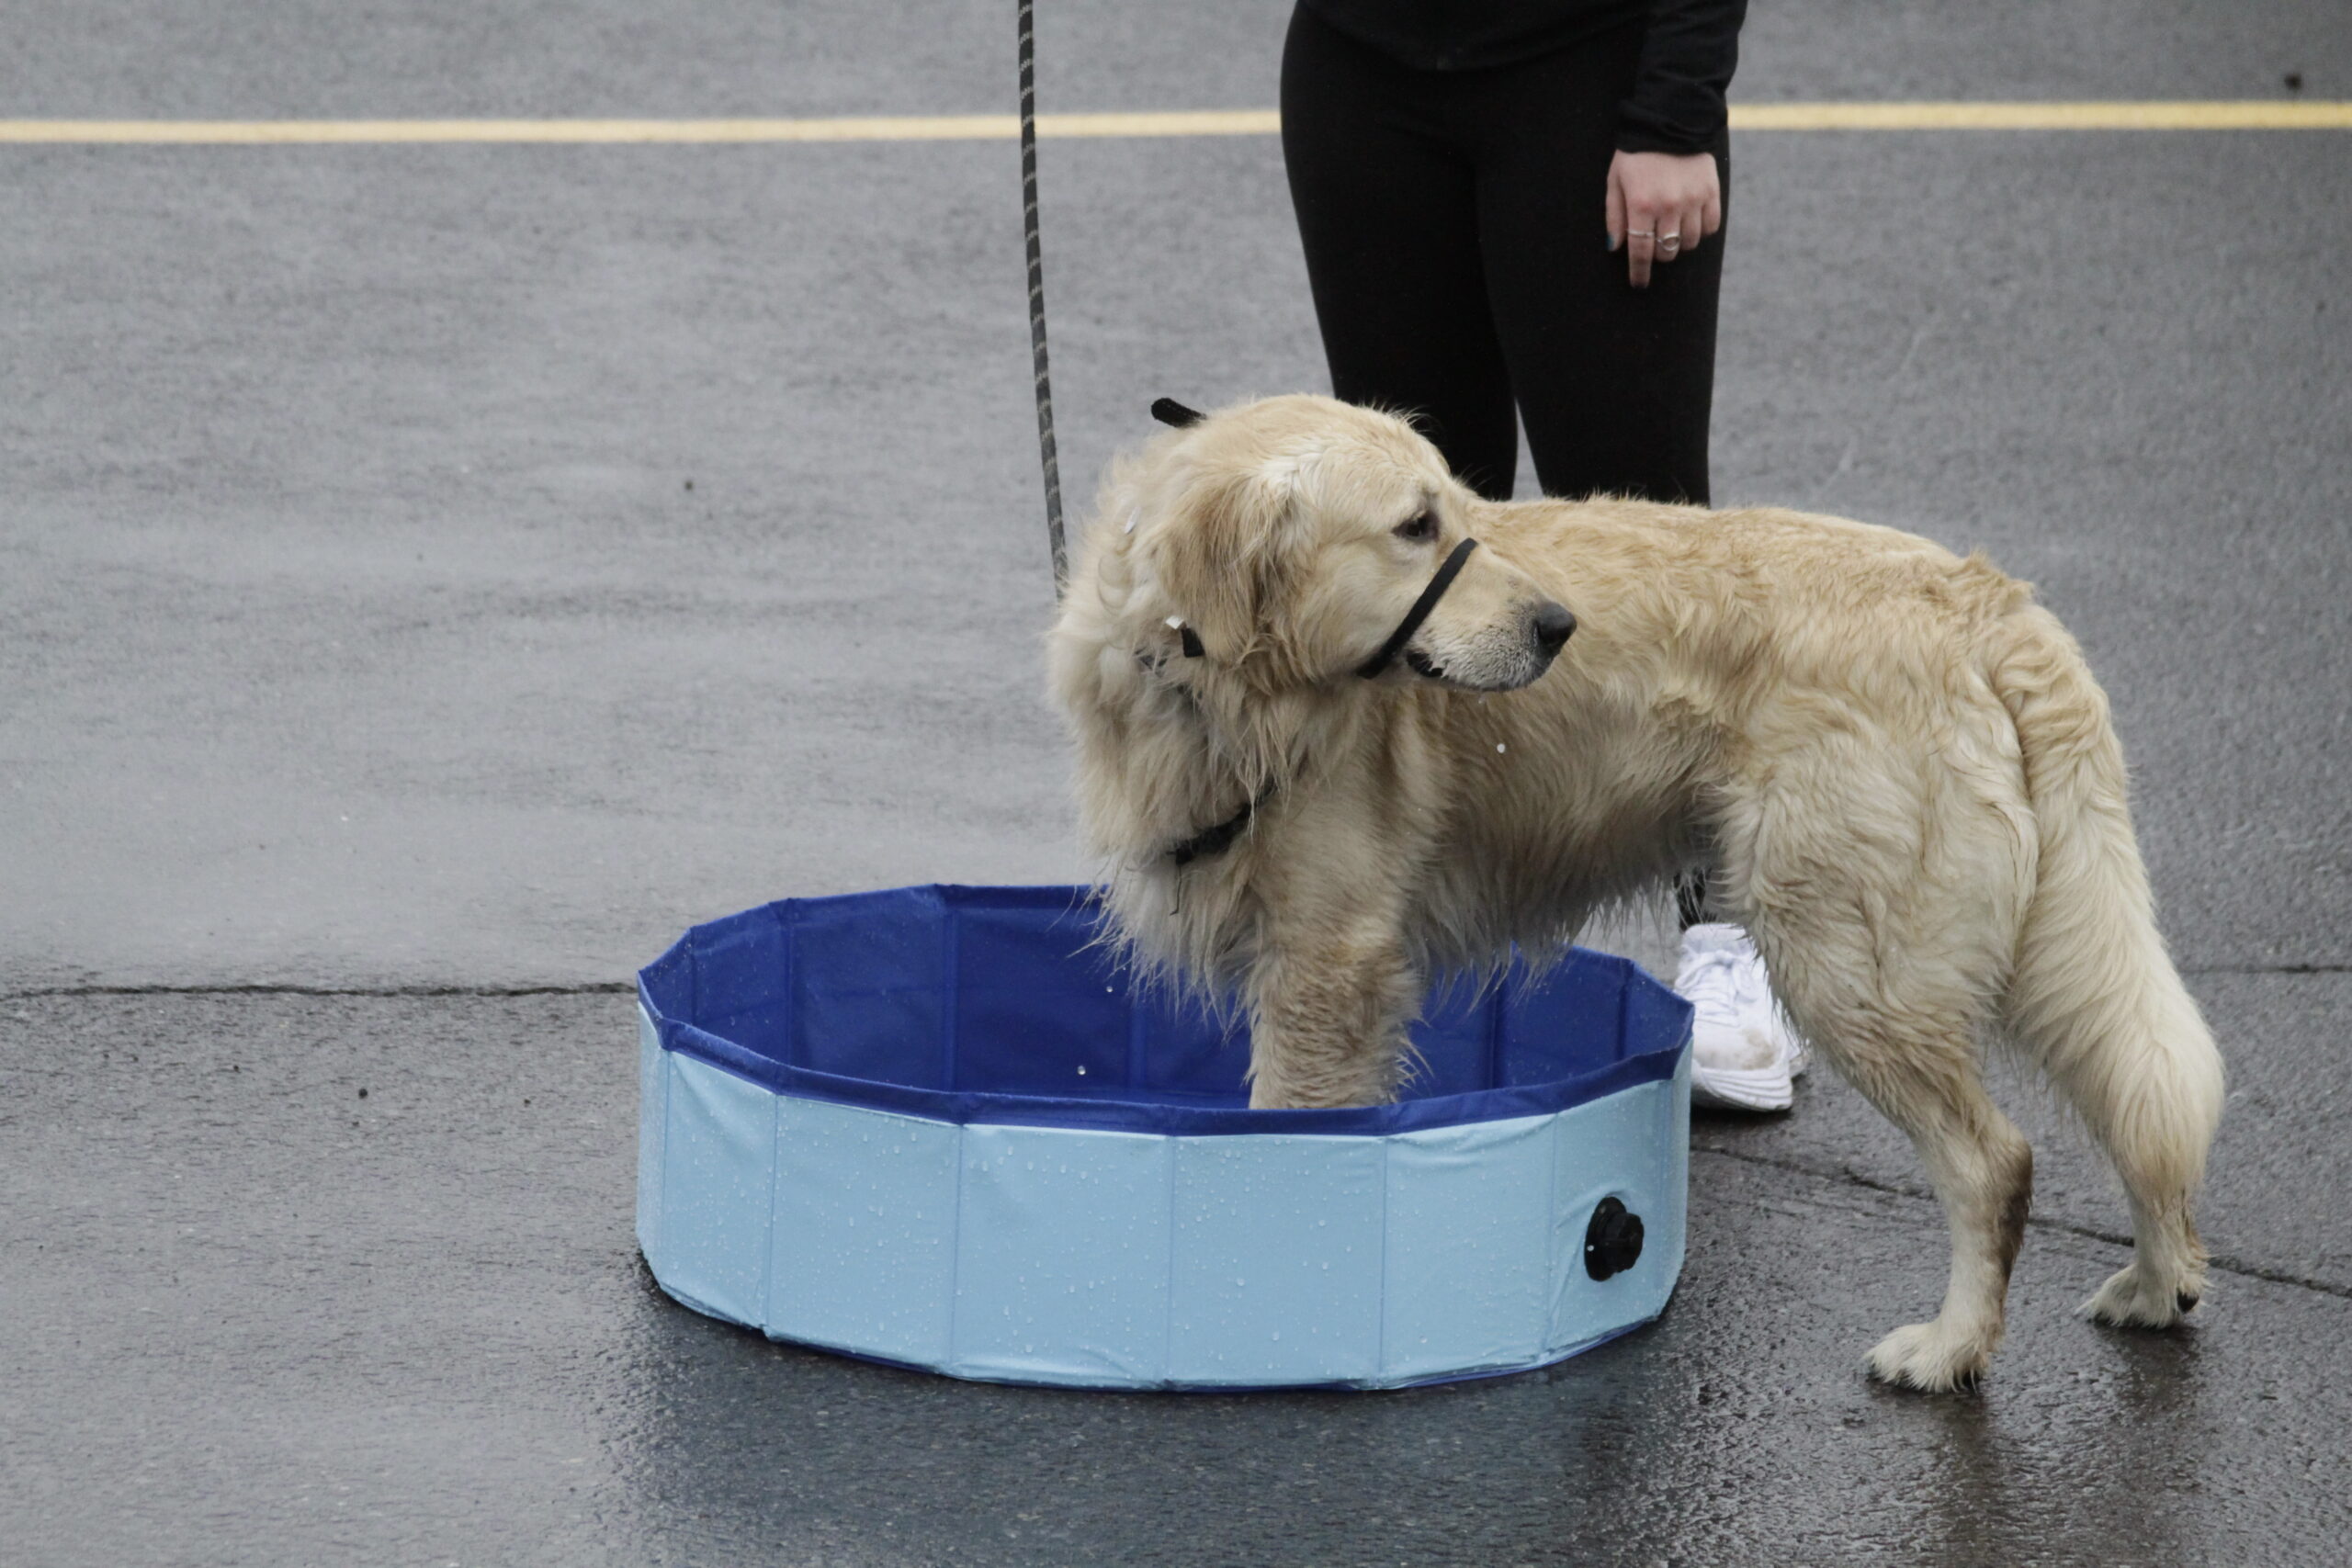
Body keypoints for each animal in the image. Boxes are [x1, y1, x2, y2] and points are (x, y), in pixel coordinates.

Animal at [1045, 394, 2225, 1392]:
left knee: (1996, 1161)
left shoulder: (1325, 966)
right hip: (2043, 941)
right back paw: (2157, 1280)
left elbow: (1288, 1138)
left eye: (1449, 511)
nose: (1558, 628)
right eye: (1415, 526)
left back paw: (1950, 1349)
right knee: (2145, 1093)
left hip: (1849, 957)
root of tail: (1987, 601)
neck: (1219, 691)